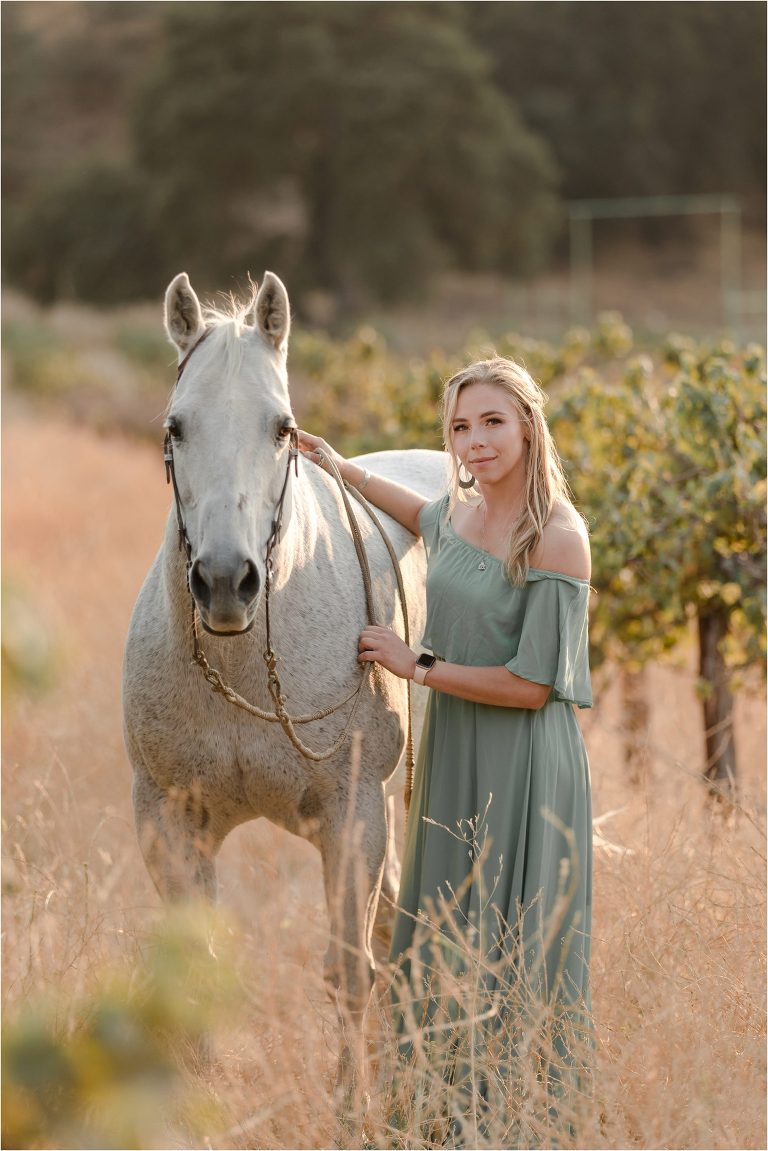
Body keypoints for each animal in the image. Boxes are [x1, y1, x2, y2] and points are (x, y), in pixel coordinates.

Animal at [122, 270, 448, 1092]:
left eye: (281, 427)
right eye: (176, 427)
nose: (224, 582)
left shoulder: (350, 816)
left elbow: (348, 972)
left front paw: (353, 1104)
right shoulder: (169, 821)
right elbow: (195, 975)